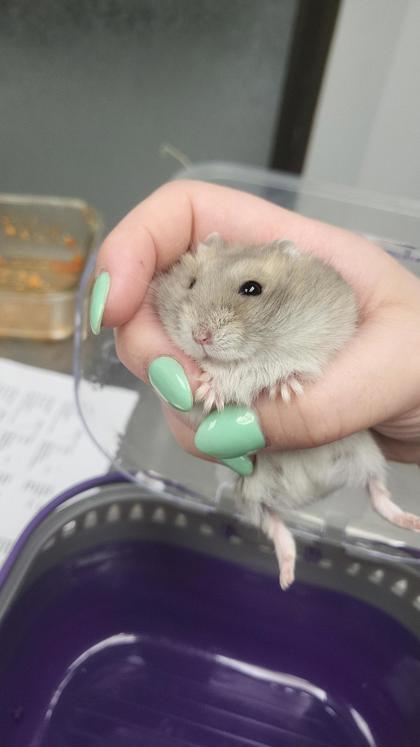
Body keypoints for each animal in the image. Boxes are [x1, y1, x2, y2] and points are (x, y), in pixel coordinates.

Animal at [153, 234, 420, 589]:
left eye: (251, 289)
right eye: (191, 283)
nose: (200, 336)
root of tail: (313, 496)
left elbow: (280, 363)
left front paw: (285, 390)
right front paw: (209, 393)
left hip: (364, 452)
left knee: (377, 492)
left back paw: (410, 522)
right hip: (250, 493)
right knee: (277, 527)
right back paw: (287, 577)